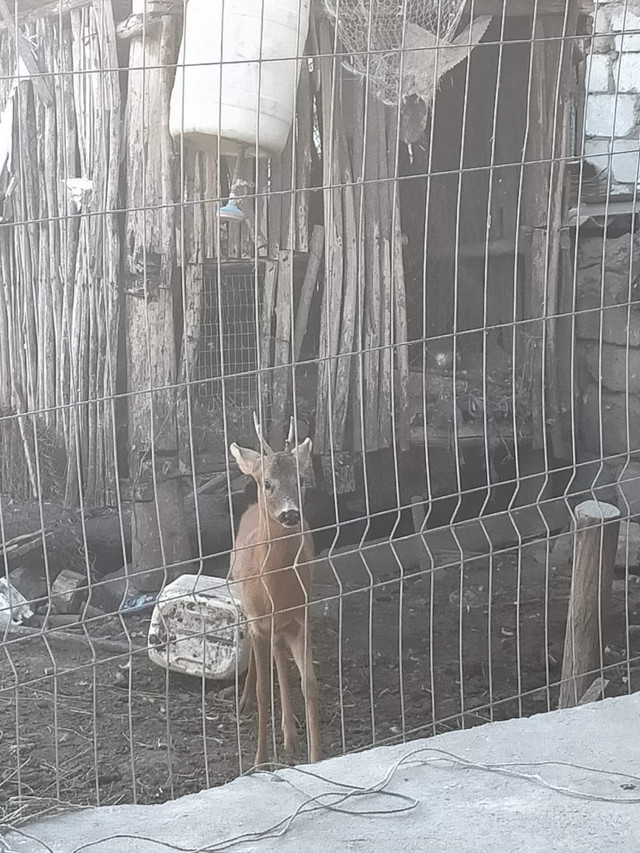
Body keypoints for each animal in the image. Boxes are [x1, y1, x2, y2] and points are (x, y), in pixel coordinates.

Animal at [229, 412, 320, 764]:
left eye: (301, 480)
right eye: (267, 483)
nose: (291, 513)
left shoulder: (302, 617)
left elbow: (309, 684)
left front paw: (317, 757)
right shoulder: (258, 620)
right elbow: (263, 691)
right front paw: (259, 761)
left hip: (285, 626)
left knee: (280, 654)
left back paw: (290, 734)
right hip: (244, 605)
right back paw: (244, 702)